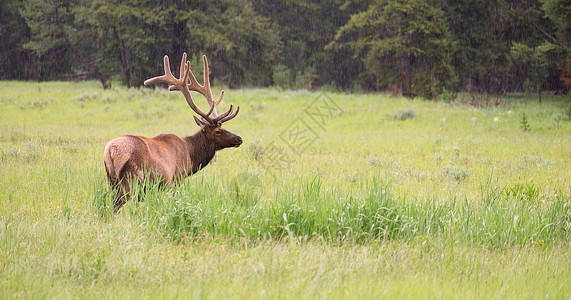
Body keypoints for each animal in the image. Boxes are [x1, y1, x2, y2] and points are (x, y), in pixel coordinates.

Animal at [104, 52, 242, 212]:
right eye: (218, 131)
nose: (239, 138)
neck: (190, 155)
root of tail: (111, 150)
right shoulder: (176, 179)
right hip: (130, 180)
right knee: (116, 205)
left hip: (111, 180)